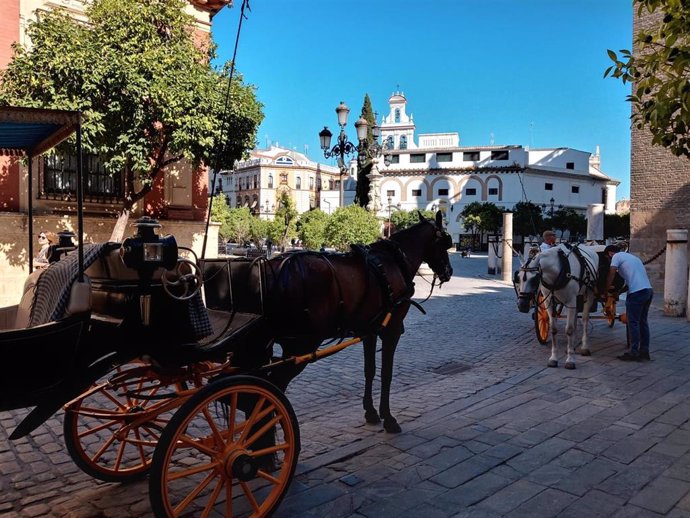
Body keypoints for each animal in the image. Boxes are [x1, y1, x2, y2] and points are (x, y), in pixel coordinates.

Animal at [247, 211, 452, 434]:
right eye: (444, 243)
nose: (449, 272)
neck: (394, 261)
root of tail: (271, 268)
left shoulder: (370, 331)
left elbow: (370, 370)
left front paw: (371, 412)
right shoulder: (392, 330)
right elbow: (386, 373)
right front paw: (388, 418)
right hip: (301, 345)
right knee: (272, 389)